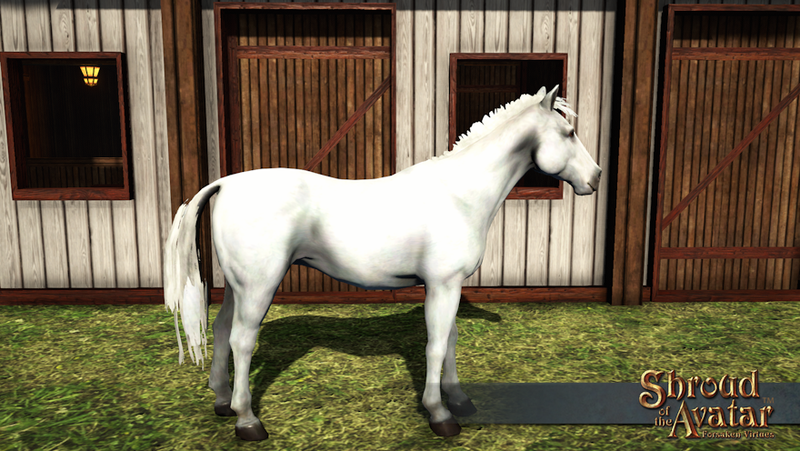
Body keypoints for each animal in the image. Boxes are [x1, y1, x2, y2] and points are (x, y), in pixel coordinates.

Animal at [164, 85, 601, 441]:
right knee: (242, 340)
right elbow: (436, 346)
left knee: (222, 331)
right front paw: (439, 414)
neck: (460, 194)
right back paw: (247, 421)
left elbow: (451, 341)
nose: (595, 178)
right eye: (568, 133)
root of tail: (225, 182)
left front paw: (459, 399)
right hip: (259, 285)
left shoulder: (449, 285)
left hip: (239, 287)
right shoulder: (442, 284)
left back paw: (222, 402)